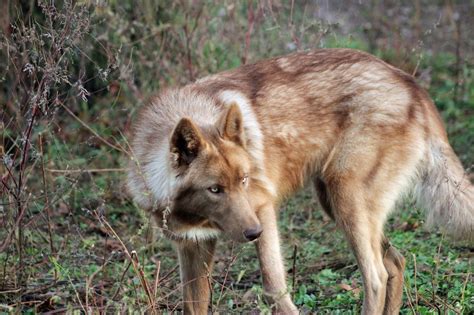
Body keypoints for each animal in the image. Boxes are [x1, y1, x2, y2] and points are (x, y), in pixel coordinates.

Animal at [127, 48, 474, 314]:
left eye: (244, 180)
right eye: (215, 190)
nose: (253, 233)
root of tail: (412, 85)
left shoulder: (262, 209)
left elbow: (274, 289)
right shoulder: (192, 247)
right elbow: (194, 305)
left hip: (345, 200)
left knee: (375, 277)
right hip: (338, 205)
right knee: (395, 263)